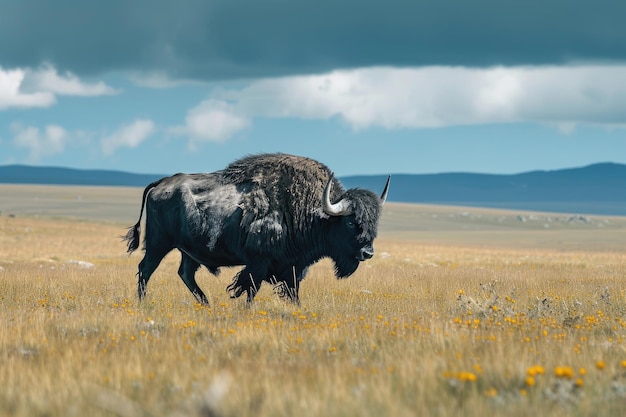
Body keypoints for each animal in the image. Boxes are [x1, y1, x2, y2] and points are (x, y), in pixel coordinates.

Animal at [124, 153, 388, 302]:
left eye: (374, 222)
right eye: (351, 221)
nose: (368, 253)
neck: (315, 213)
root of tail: (161, 184)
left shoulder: (293, 268)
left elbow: (292, 294)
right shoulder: (259, 263)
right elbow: (249, 289)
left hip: (188, 251)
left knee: (185, 274)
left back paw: (206, 303)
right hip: (159, 244)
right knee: (145, 270)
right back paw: (143, 303)